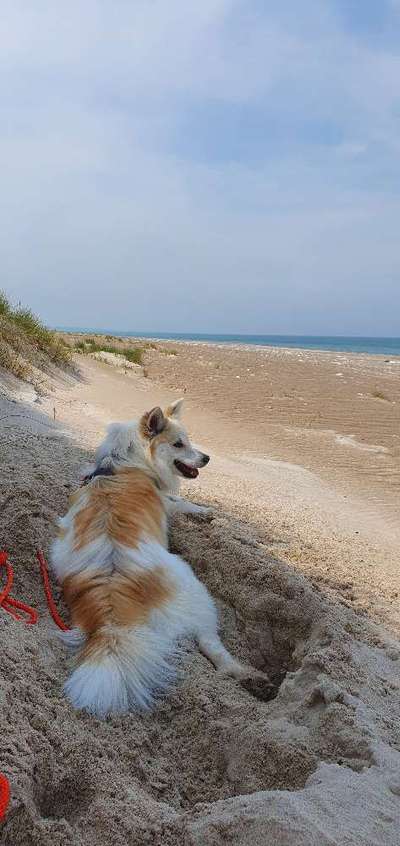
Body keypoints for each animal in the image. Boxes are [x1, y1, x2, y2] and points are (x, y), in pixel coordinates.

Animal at [50, 400, 266, 720]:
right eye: (179, 444)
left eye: (189, 440)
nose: (207, 458)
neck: (125, 462)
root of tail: (113, 612)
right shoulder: (166, 502)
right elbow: (181, 503)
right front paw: (204, 511)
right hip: (197, 592)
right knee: (211, 643)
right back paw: (244, 673)